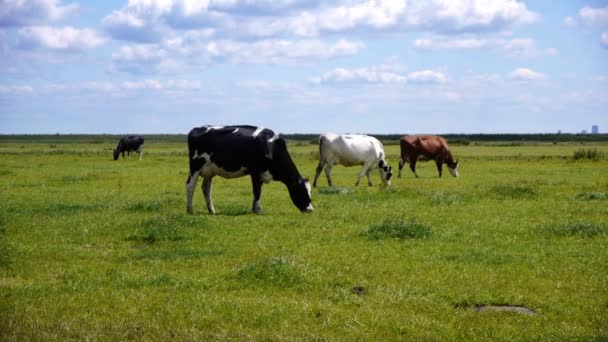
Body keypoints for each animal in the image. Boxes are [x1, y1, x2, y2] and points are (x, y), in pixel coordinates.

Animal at [185, 125, 314, 214]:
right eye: (302, 191)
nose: (310, 210)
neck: (270, 147)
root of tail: (197, 128)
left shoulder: (261, 173)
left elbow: (258, 191)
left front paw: (254, 208)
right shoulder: (255, 171)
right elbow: (257, 191)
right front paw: (258, 210)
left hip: (209, 171)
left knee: (206, 189)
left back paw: (211, 210)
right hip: (195, 166)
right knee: (190, 185)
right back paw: (190, 210)